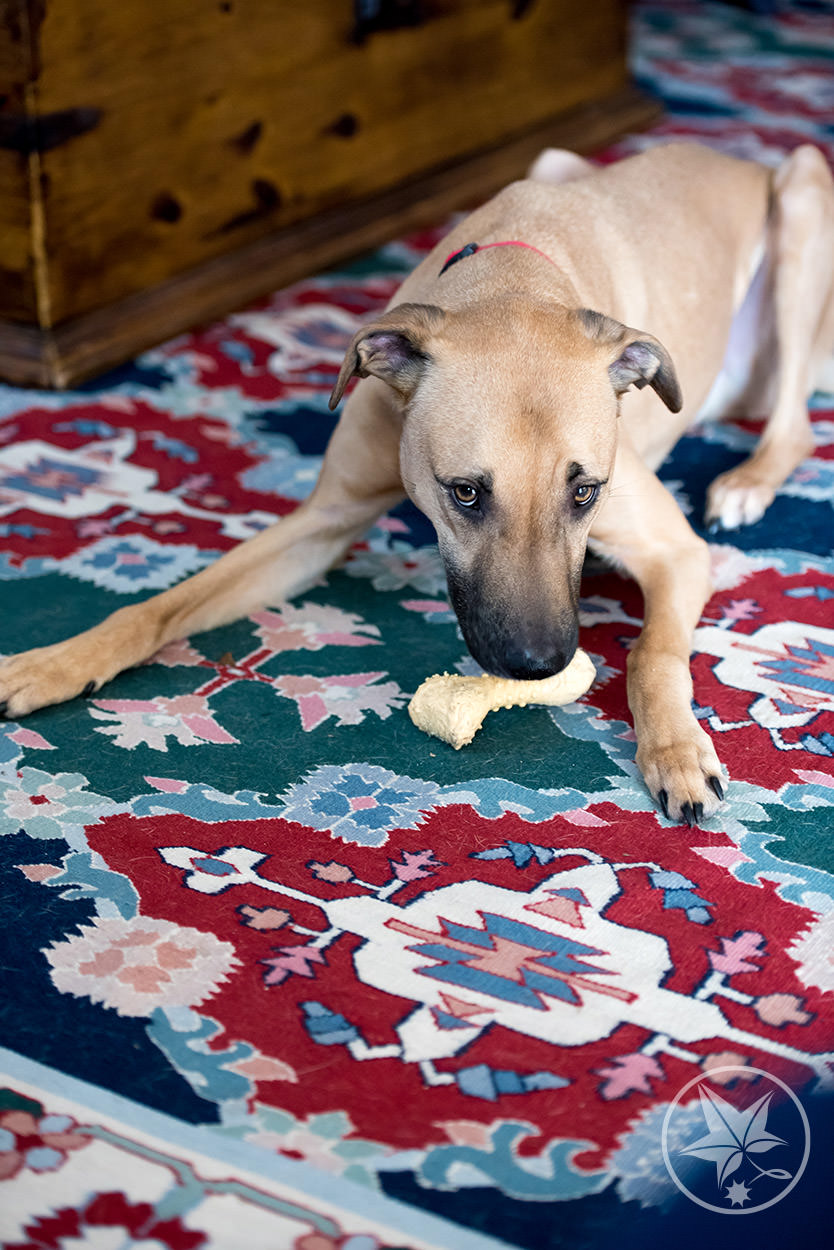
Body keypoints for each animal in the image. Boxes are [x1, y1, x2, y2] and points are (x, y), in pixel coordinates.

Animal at [2, 142, 833, 825]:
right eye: (465, 492)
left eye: (585, 493)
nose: (539, 665)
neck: (516, 280)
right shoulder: (322, 523)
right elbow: (156, 608)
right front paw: (53, 664)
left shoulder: (677, 552)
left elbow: (651, 655)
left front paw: (676, 752)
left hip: (801, 195)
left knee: (796, 425)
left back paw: (748, 480)